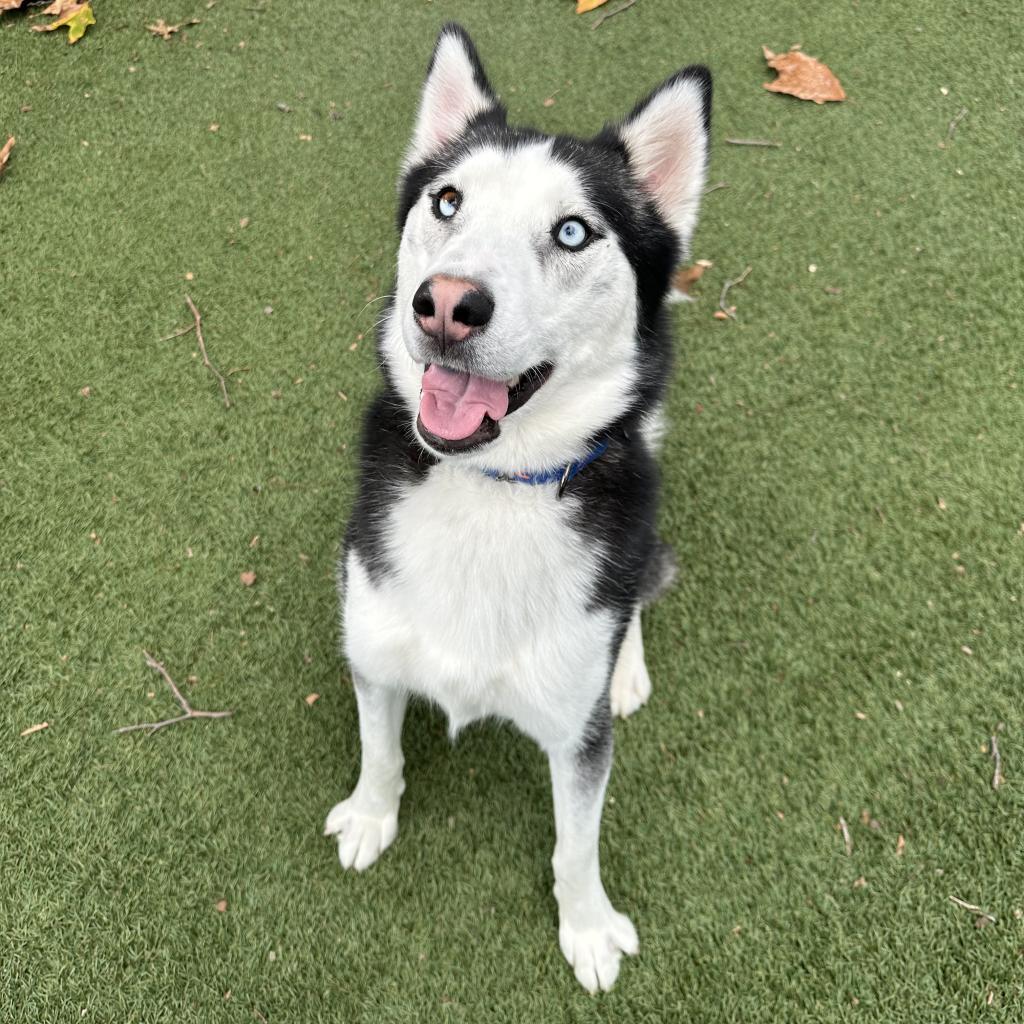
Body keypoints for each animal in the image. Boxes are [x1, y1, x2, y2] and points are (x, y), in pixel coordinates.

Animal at [327, 24, 712, 995]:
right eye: (447, 201)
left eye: (573, 232)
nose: (446, 305)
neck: (493, 493)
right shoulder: (373, 652)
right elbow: (381, 750)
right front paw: (372, 815)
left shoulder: (576, 735)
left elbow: (577, 844)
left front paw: (587, 926)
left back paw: (628, 668)